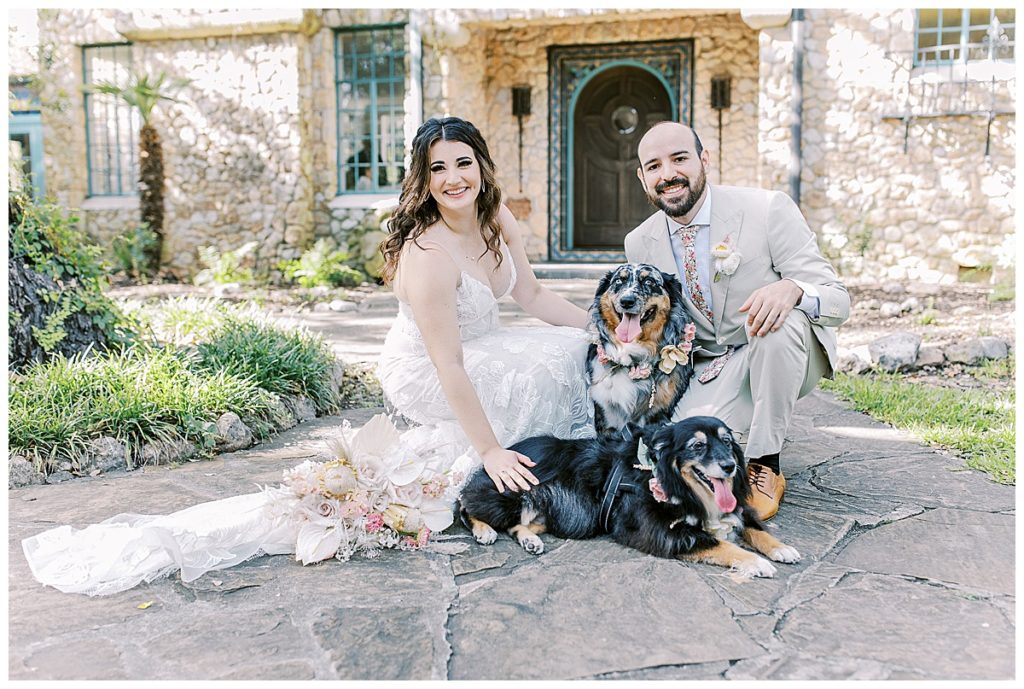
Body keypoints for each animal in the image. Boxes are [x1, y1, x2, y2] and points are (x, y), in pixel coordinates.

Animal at [460, 415, 802, 577]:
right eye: (697, 446)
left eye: (728, 442)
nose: (730, 466)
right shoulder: (665, 532)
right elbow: (721, 544)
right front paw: (757, 563)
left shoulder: (735, 510)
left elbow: (755, 527)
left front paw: (781, 548)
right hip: (513, 495)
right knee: (465, 502)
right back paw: (484, 530)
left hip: (559, 513)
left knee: (517, 524)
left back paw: (530, 540)